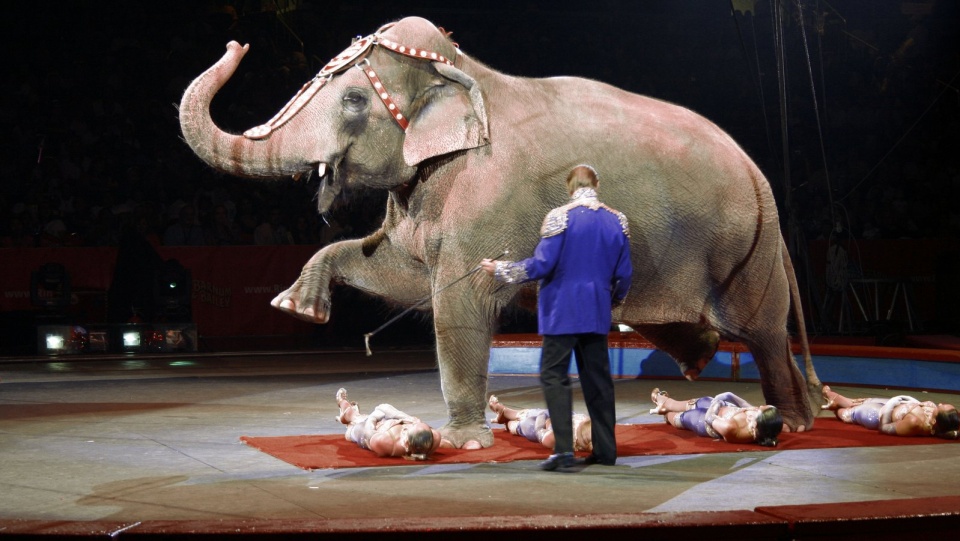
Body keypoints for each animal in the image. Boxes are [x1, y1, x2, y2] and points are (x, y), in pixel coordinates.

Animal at [182, 16, 824, 448]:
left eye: (356, 100)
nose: (236, 44)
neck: (465, 74)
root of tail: (760, 175)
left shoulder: (484, 197)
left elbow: (457, 306)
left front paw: (462, 442)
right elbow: (398, 275)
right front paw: (297, 307)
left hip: (747, 251)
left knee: (764, 333)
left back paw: (791, 421)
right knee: (685, 325)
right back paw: (718, 368)